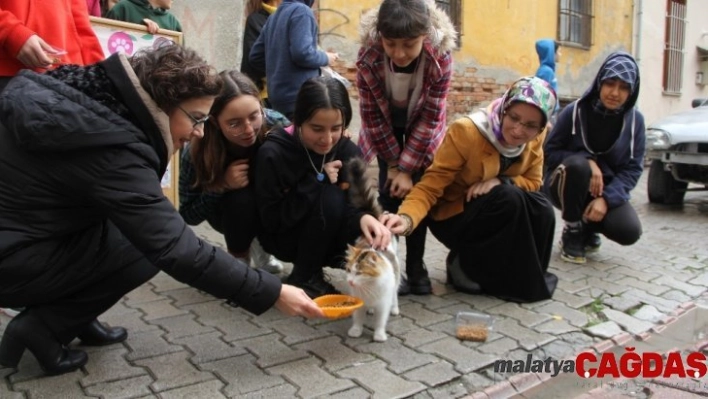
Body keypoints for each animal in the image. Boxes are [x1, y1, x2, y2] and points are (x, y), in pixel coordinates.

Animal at [344, 159, 402, 344]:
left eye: (360, 272)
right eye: (349, 270)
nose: (350, 282)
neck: (368, 288)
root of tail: (377, 221)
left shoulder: (382, 303)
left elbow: (380, 320)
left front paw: (379, 335)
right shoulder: (359, 301)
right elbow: (358, 317)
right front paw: (355, 331)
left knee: (395, 293)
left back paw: (395, 308)